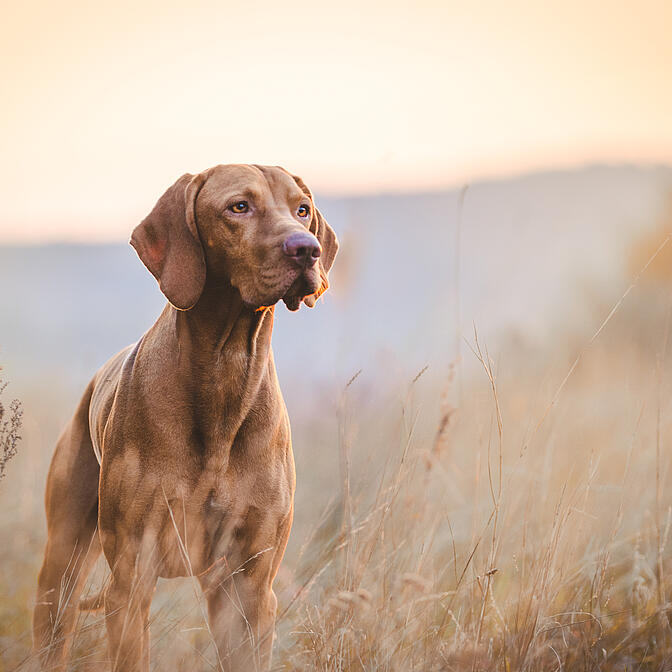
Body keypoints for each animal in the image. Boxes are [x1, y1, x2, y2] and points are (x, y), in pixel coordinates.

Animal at [31, 164, 336, 672]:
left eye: (302, 209)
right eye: (239, 206)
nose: (307, 249)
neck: (226, 371)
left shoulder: (249, 587)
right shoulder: (131, 577)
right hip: (62, 568)